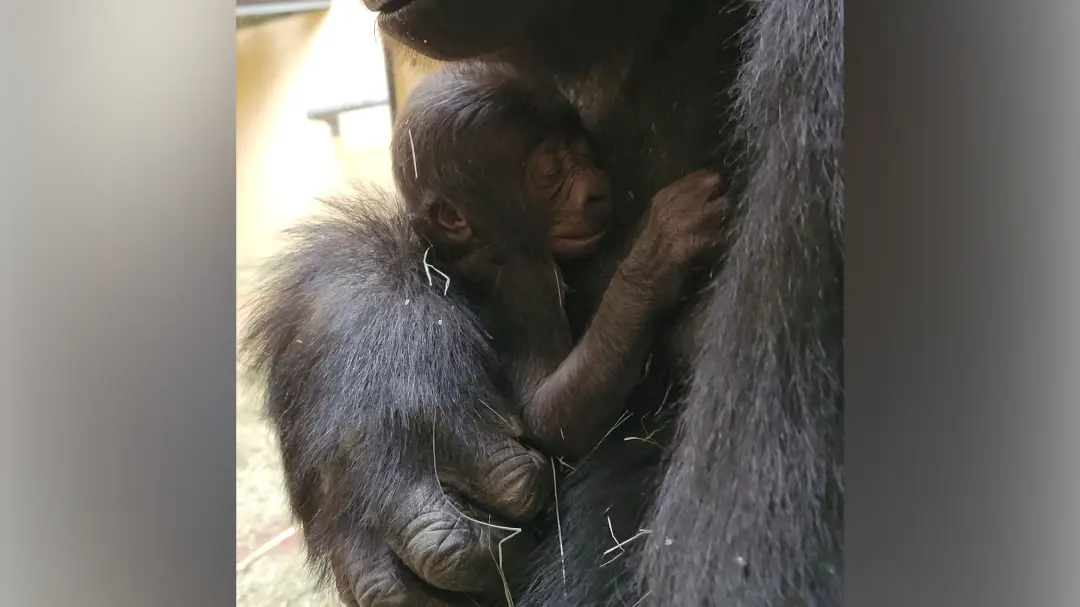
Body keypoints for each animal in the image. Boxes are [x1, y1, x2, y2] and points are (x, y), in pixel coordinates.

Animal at [390, 62, 725, 457]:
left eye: (584, 153)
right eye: (549, 173)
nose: (595, 191)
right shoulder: (525, 276)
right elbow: (548, 414)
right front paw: (659, 248)